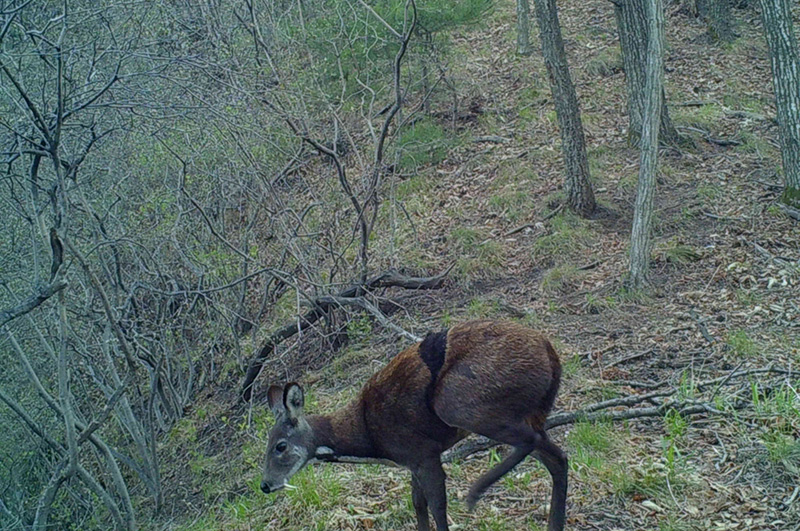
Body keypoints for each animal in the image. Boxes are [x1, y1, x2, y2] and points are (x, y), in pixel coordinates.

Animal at [260, 320, 564, 531]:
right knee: (557, 456)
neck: (368, 435)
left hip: (459, 403)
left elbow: (437, 506)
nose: (265, 485)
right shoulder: (412, 462)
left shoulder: (423, 452)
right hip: (529, 412)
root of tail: (550, 352)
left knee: (533, 442)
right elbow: (418, 504)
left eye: (280, 446)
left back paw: (475, 492)